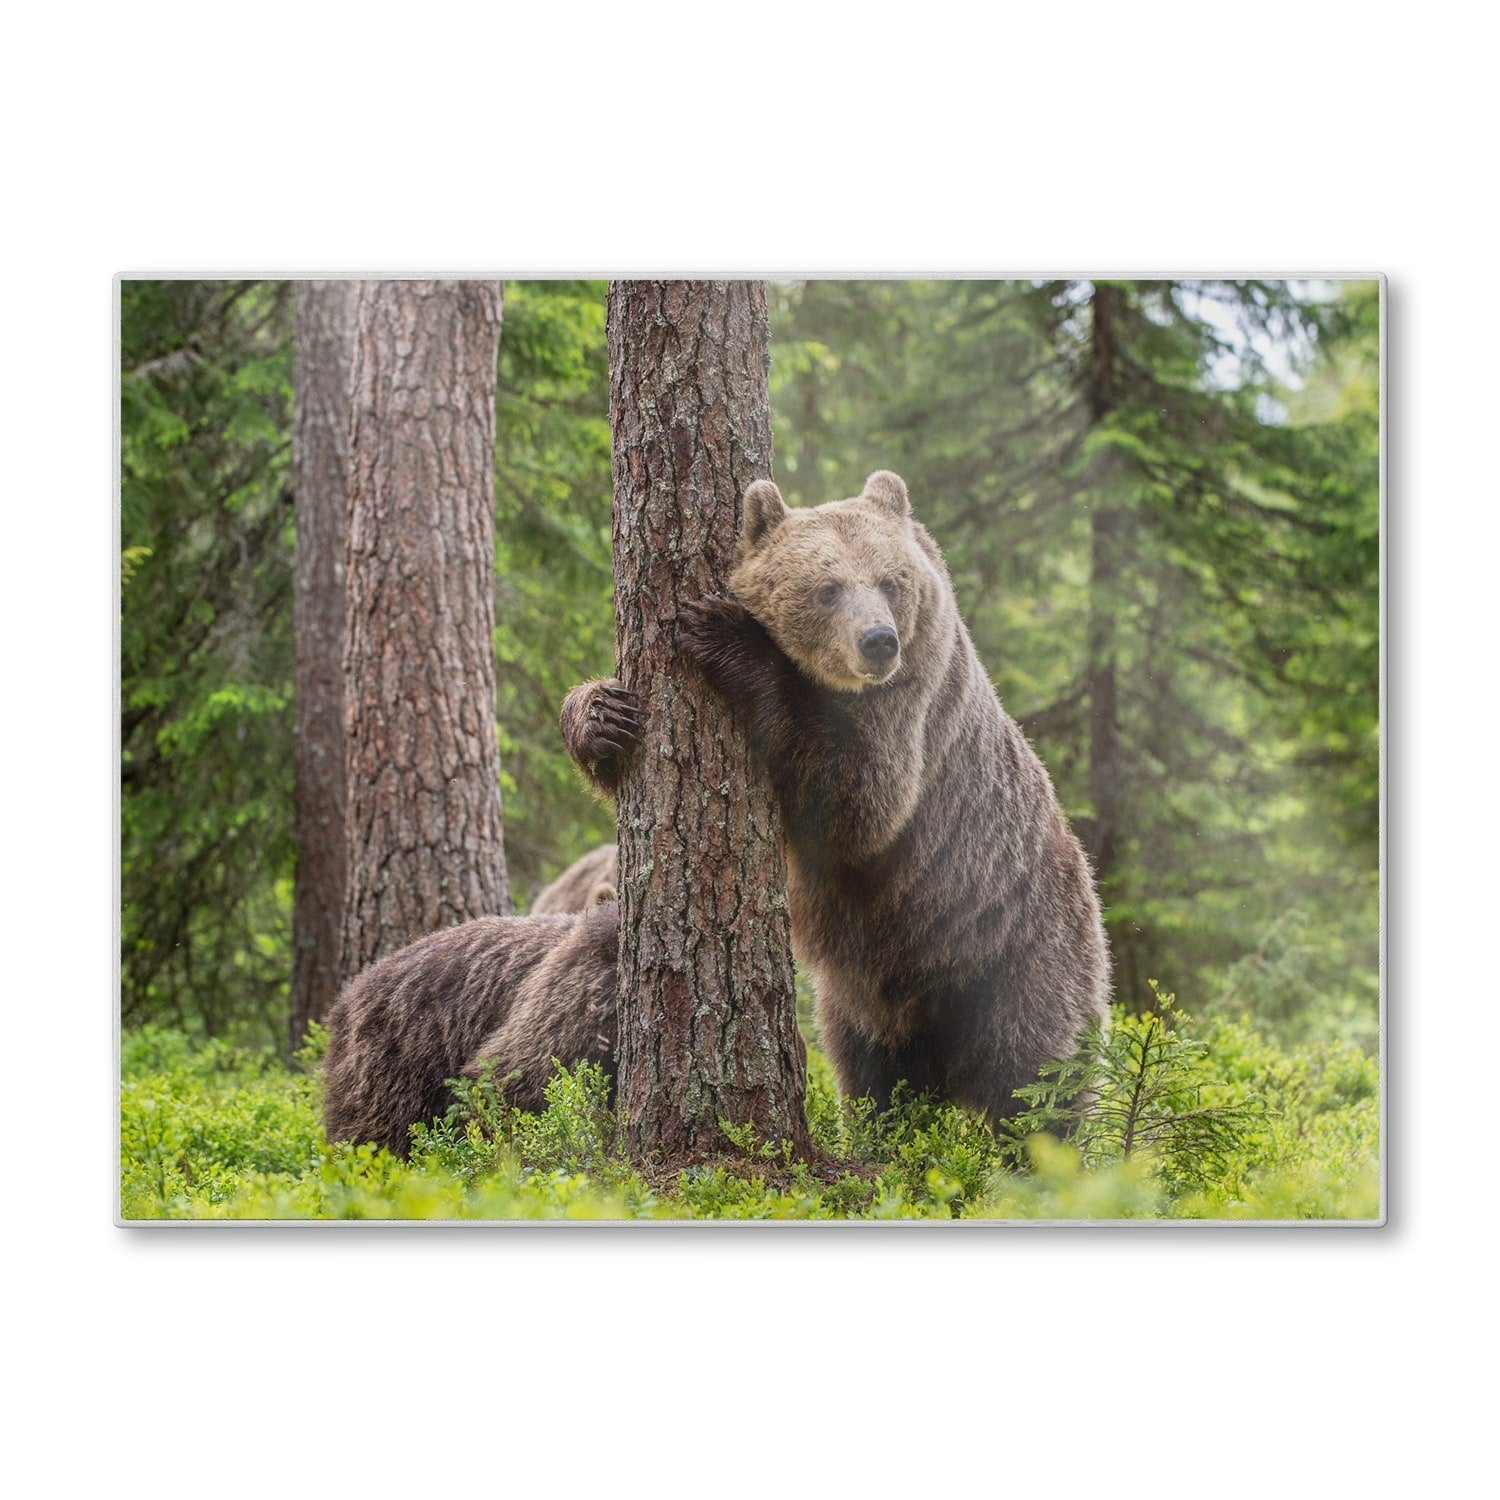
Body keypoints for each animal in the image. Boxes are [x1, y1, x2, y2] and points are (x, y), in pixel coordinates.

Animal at [564, 468, 1116, 1128]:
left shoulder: (911, 712)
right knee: (874, 1075)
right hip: (867, 996)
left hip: (1021, 955)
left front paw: (728, 635)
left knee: (1035, 1080)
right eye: (827, 588)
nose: (878, 641)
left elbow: (856, 803)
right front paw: (604, 716)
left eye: (889, 581)